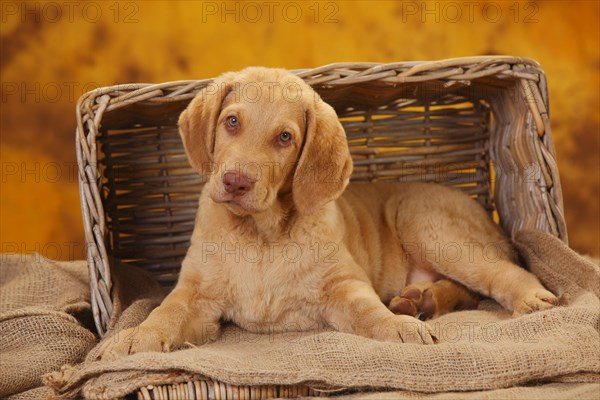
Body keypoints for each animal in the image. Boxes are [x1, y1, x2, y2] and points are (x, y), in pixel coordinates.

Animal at [99, 67, 556, 358]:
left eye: (285, 137)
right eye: (231, 122)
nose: (235, 183)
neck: (260, 235)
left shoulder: (344, 286)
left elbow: (369, 311)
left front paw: (398, 328)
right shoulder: (196, 296)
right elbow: (165, 311)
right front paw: (133, 338)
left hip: (427, 224)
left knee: (498, 274)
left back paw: (525, 298)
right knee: (463, 289)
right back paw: (418, 300)